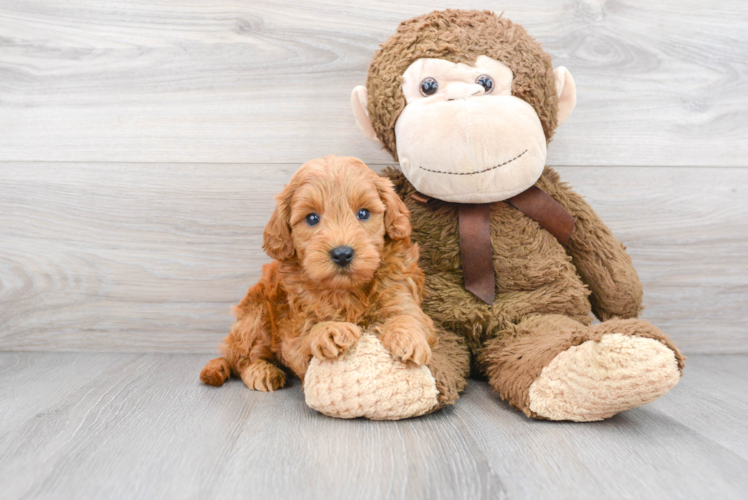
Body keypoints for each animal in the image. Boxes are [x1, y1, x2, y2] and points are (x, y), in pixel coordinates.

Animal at [202, 153, 464, 394]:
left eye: (363, 213)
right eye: (312, 218)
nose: (342, 254)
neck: (348, 290)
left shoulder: (400, 291)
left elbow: (409, 316)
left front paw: (408, 337)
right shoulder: (294, 324)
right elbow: (305, 336)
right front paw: (328, 330)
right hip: (255, 316)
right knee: (243, 357)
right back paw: (261, 371)